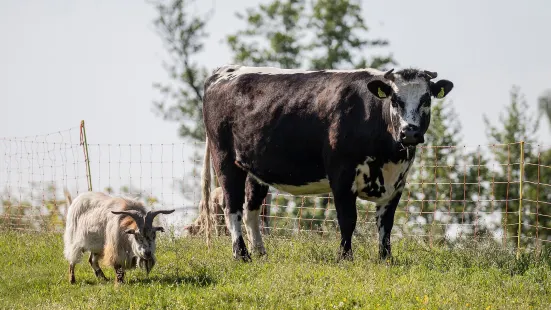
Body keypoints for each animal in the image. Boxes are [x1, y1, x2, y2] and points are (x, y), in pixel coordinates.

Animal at [199, 65, 452, 262]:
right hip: (225, 159)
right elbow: (348, 219)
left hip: (255, 168)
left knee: (251, 208)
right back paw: (241, 255)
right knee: (232, 206)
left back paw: (260, 252)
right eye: (395, 100)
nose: (410, 132)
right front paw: (345, 257)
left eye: (426, 99)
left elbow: (386, 223)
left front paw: (385, 258)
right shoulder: (341, 174)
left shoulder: (397, 181)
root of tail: (223, 72)